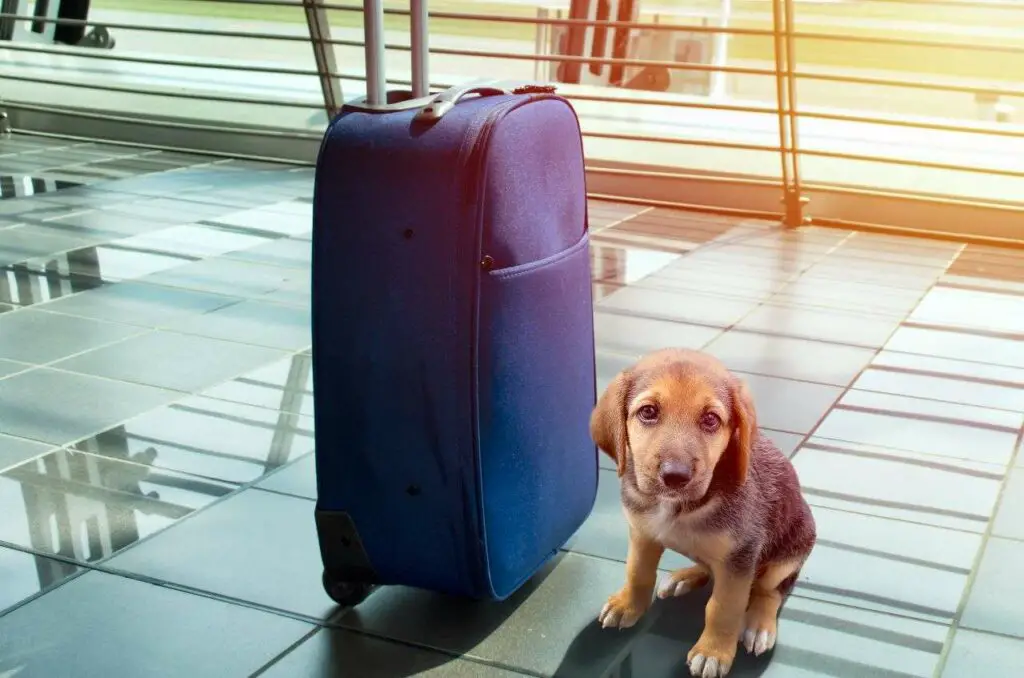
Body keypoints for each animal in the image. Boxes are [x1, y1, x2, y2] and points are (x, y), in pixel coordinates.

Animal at [593, 350, 815, 678]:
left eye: (710, 419)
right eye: (648, 412)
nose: (675, 476)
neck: (676, 506)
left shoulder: (740, 557)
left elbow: (723, 607)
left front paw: (713, 651)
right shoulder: (642, 533)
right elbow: (637, 572)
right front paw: (628, 604)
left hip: (791, 550)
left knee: (770, 589)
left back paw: (759, 624)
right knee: (709, 566)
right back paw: (685, 576)